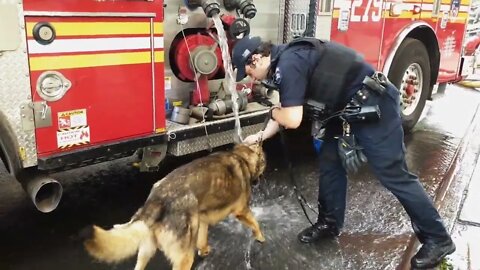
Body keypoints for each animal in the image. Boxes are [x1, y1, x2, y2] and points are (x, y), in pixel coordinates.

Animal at [84, 143, 268, 270]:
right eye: (264, 161)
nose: (261, 178)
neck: (242, 157)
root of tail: (157, 200)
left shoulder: (202, 220)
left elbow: (203, 238)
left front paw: (204, 250)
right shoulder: (242, 211)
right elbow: (255, 222)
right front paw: (260, 237)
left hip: (146, 250)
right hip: (184, 257)